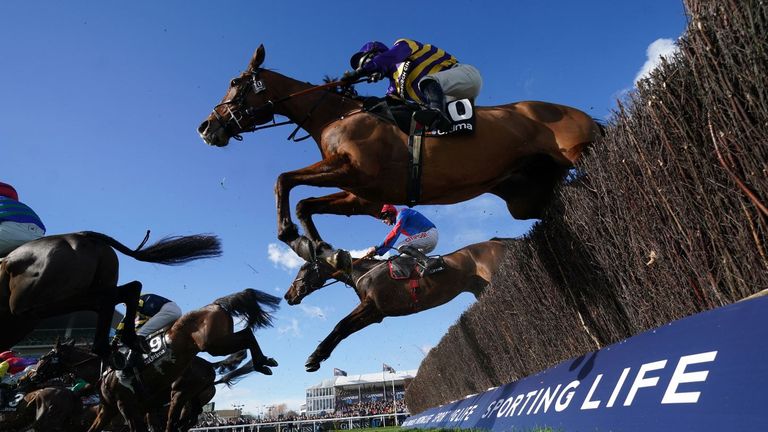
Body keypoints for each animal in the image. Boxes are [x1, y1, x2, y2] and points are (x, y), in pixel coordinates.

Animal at [0, 231, 222, 356]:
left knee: (108, 298)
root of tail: (82, 235)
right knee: (126, 290)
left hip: (34, 306)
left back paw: (107, 348)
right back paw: (123, 343)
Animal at [89, 286, 282, 432]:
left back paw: (262, 363)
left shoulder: (127, 405)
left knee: (247, 335)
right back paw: (263, 363)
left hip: (209, 351)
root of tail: (215, 304)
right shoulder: (108, 409)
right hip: (198, 382)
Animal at [196, 44, 600, 260]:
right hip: (527, 196)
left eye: (235, 82)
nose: (205, 127)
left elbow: (284, 180)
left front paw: (288, 233)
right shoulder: (360, 194)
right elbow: (306, 203)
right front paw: (319, 246)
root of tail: (580, 114)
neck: (335, 115)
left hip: (576, 152)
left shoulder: (355, 169)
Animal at [284, 238, 510, 370]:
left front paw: (313, 357)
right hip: (481, 288)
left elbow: (340, 325)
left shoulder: (370, 306)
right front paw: (318, 356)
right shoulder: (374, 314)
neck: (364, 272)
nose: (288, 296)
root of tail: (498, 242)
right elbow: (344, 330)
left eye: (303, 269)